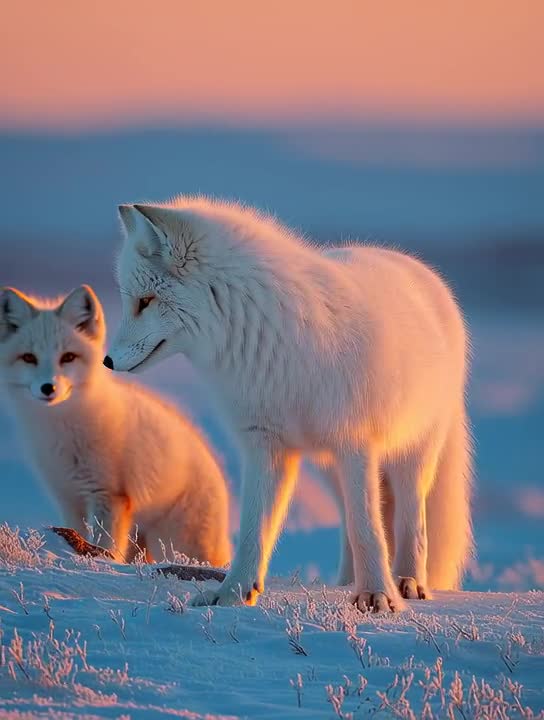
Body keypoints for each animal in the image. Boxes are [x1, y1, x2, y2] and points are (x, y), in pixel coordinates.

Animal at [0, 284, 231, 567]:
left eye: (68, 357)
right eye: (28, 358)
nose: (48, 388)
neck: (63, 431)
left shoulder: (109, 496)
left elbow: (106, 545)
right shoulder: (69, 499)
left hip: (174, 542)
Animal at [105, 197, 473, 612]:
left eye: (145, 302)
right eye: (133, 301)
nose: (107, 361)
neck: (266, 342)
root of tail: (417, 268)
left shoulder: (354, 441)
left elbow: (368, 528)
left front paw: (377, 596)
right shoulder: (266, 445)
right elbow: (253, 530)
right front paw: (233, 592)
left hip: (410, 453)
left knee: (410, 521)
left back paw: (407, 581)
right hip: (328, 466)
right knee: (351, 519)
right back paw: (345, 581)